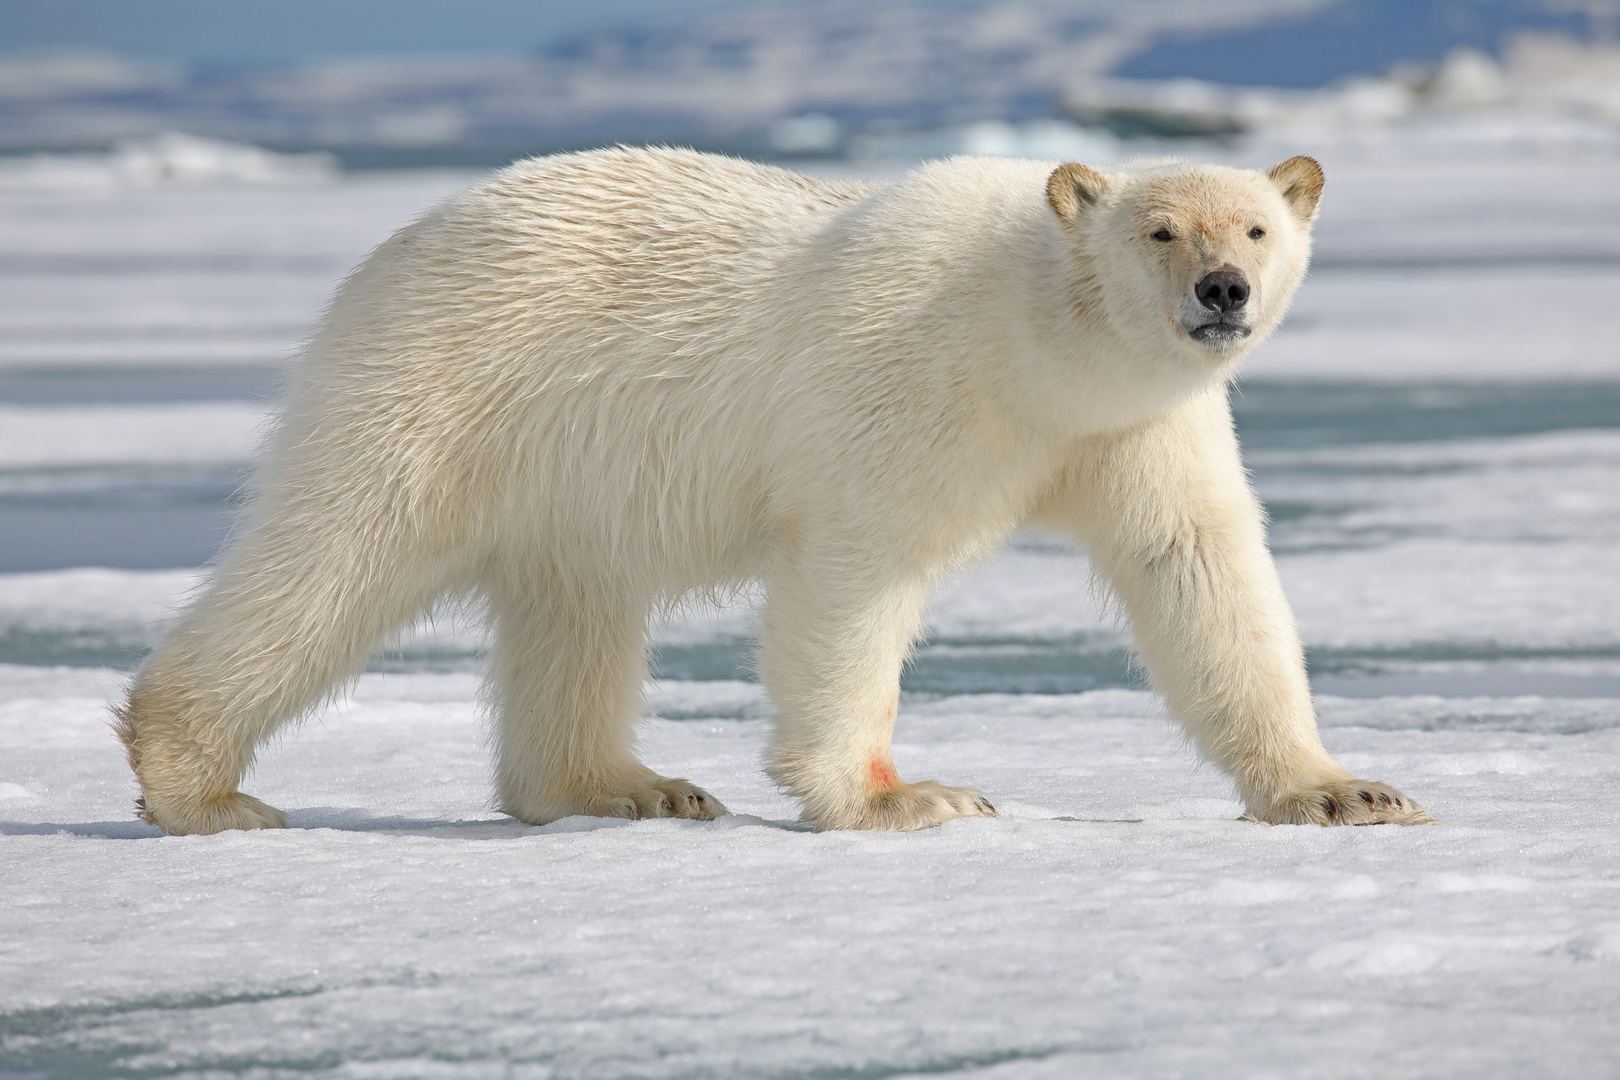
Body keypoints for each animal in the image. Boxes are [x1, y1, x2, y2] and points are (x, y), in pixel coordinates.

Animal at [114, 143, 1432, 835]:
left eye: (1255, 227)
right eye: (1161, 230)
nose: (1222, 292)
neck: (1031, 340)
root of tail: (388, 248)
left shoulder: (1138, 428)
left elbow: (1198, 572)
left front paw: (1345, 790)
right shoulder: (905, 385)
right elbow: (855, 576)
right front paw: (910, 797)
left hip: (565, 474)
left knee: (575, 611)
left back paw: (628, 786)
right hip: (442, 394)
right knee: (334, 559)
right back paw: (202, 787)